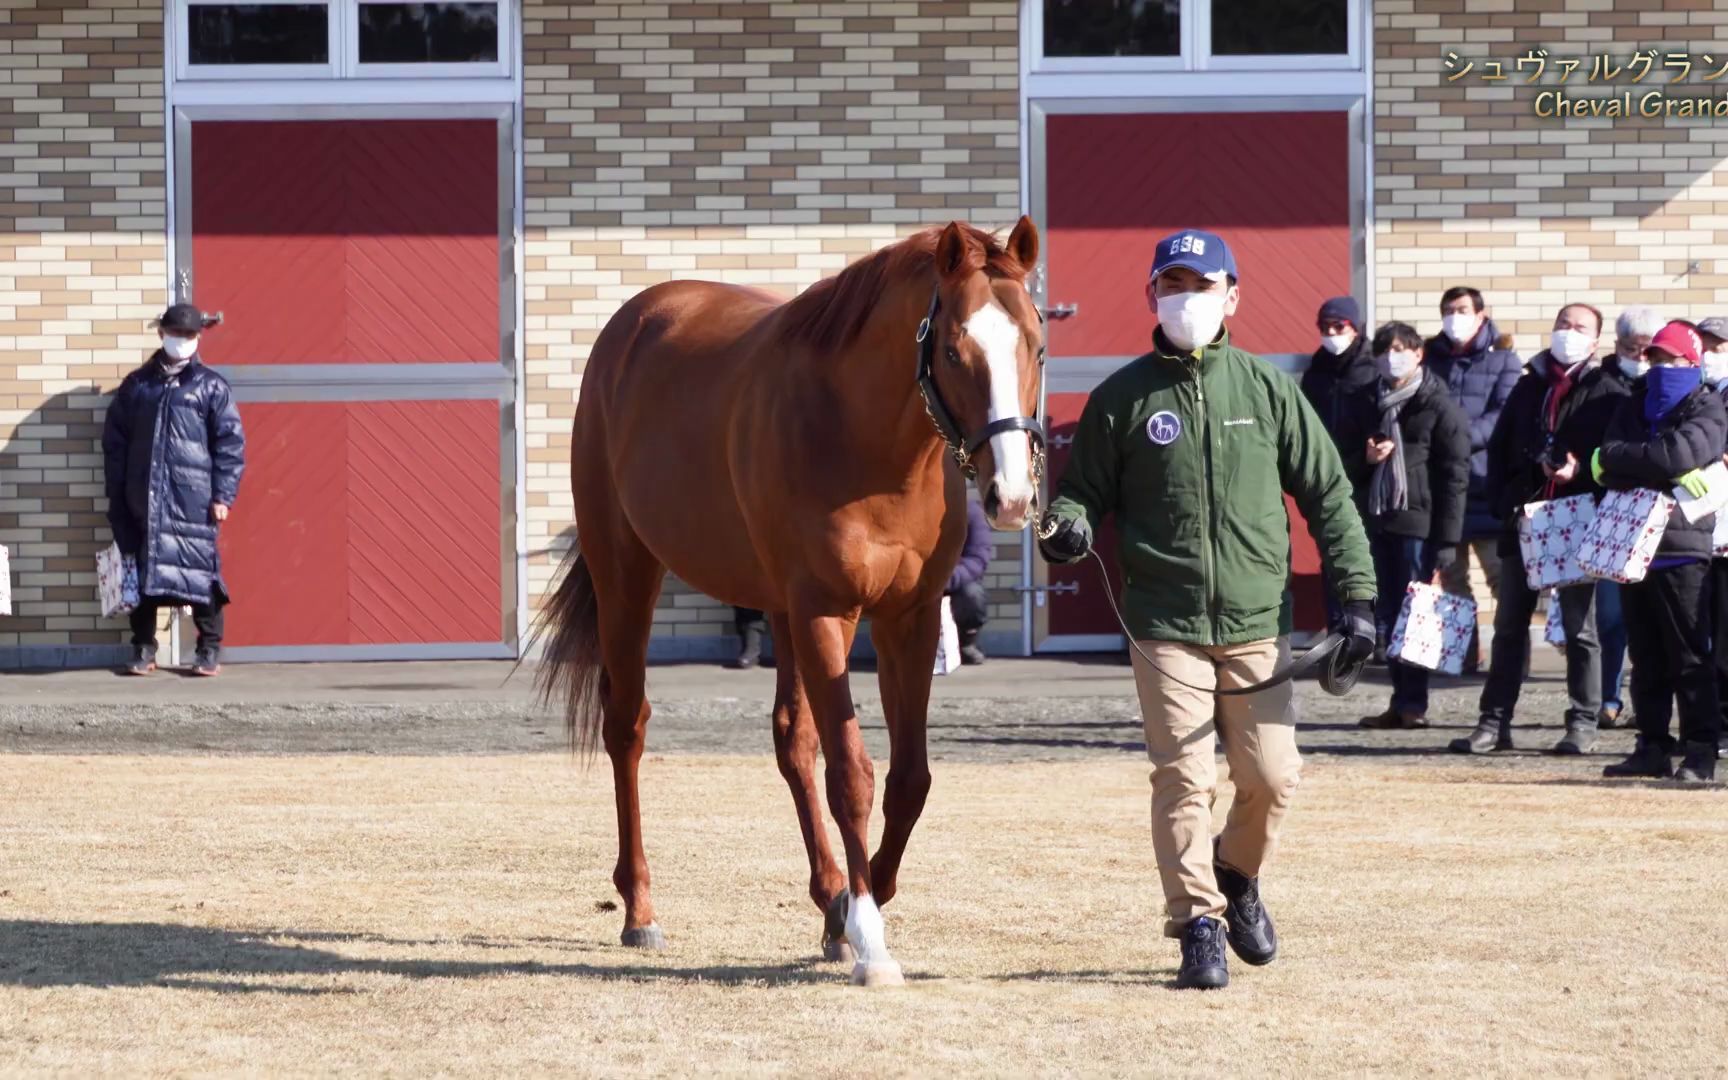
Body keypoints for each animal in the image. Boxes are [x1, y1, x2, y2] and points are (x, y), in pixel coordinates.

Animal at [539, 215, 1043, 981]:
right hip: (627, 570)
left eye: (1037, 342)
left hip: (774, 606)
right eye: (955, 352)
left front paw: (858, 903)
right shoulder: (825, 613)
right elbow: (853, 775)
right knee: (626, 727)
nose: (1010, 496)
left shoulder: (909, 619)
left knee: (790, 741)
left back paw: (827, 894)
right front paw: (869, 938)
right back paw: (640, 910)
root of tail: (635, 321)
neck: (869, 445)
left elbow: (909, 780)